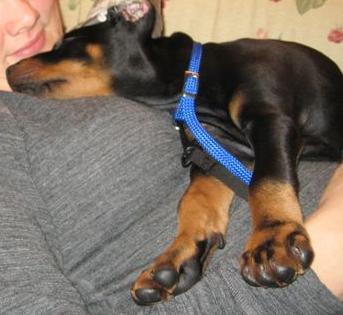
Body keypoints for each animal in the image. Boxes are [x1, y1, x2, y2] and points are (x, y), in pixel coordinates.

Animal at [6, 0, 343, 308]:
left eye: (64, 44)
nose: (8, 69)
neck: (192, 81)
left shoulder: (268, 118)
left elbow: (267, 179)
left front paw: (271, 238)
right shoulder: (219, 149)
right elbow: (196, 199)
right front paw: (178, 257)